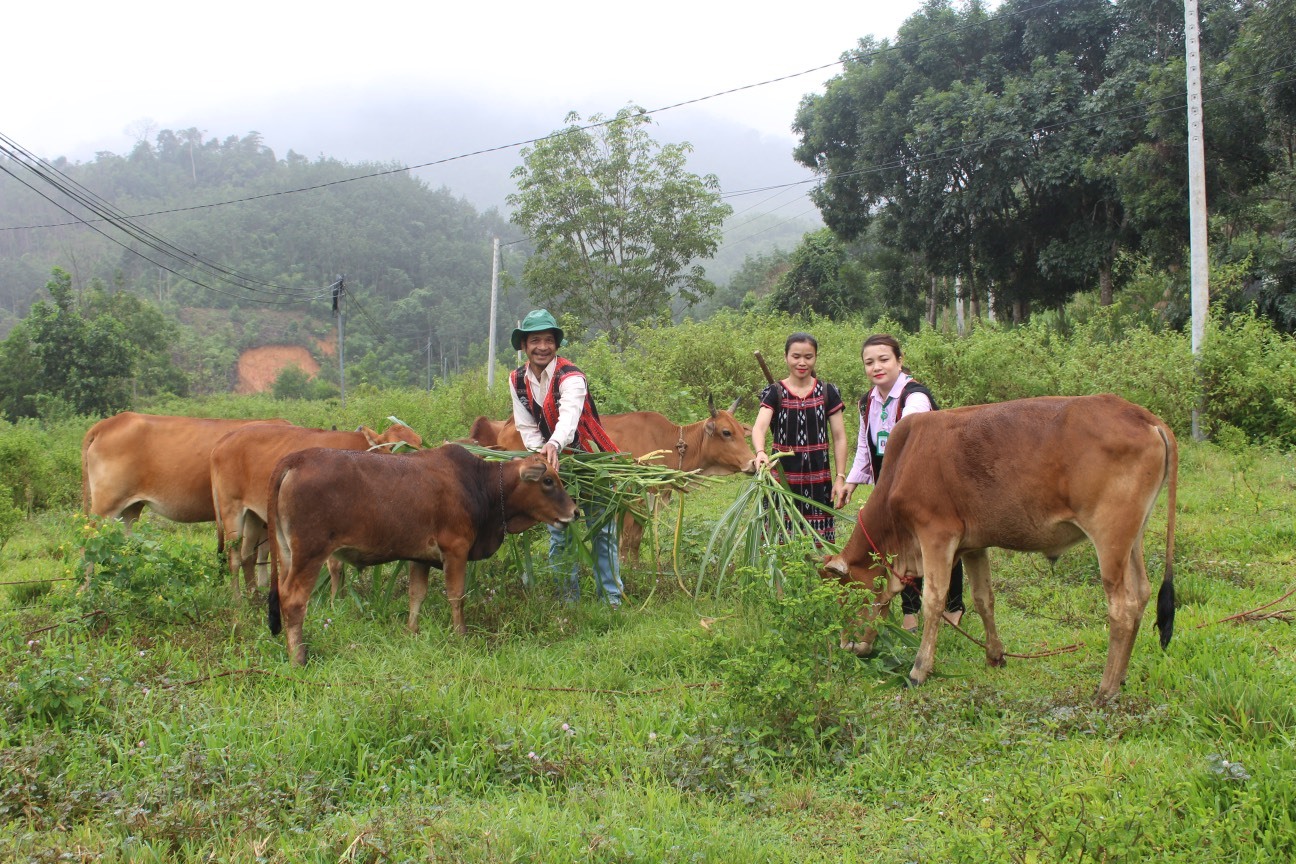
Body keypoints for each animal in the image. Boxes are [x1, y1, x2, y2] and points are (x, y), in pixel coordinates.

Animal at [207, 422, 419, 598]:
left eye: (418, 444)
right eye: (393, 446)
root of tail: (222, 442)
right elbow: (335, 566)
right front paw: (336, 601)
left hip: (253, 516)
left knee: (247, 556)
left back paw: (254, 598)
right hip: (231, 511)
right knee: (234, 558)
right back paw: (238, 601)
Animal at [265, 443, 575, 668]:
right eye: (548, 481)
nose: (575, 512)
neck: (478, 484)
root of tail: (295, 459)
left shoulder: (420, 559)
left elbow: (417, 595)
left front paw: (412, 632)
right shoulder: (455, 550)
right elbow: (456, 596)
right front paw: (461, 634)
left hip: (287, 554)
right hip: (309, 554)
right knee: (293, 601)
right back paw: (298, 658)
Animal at [824, 393, 1181, 704]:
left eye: (846, 597)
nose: (846, 645)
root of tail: (1144, 417)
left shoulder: (936, 534)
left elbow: (934, 602)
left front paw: (919, 670)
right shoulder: (973, 545)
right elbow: (984, 599)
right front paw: (995, 655)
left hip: (1110, 536)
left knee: (1123, 607)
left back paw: (1106, 689)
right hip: (1133, 538)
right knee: (1143, 594)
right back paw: (1121, 678)